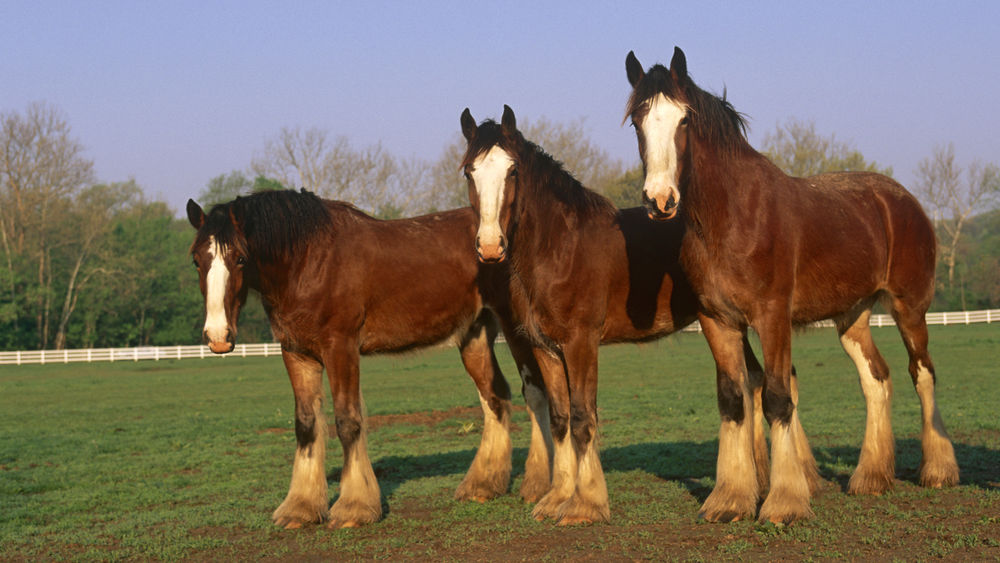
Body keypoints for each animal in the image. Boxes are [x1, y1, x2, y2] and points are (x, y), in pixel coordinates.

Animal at [186, 189, 554, 528]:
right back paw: (483, 485)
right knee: (495, 396)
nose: (218, 337)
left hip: (516, 328)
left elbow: (348, 421)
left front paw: (354, 507)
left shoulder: (341, 348)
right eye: (196, 260)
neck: (309, 261)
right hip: (474, 334)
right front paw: (300, 508)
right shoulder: (297, 353)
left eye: (240, 258)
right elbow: (306, 424)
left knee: (534, 394)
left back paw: (538, 484)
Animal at [458, 106, 779, 525]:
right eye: (469, 172)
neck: (560, 248)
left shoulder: (580, 343)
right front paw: (556, 499)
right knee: (753, 379)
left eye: (512, 171)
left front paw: (586, 505)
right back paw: (755, 483)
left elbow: (582, 417)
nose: (491, 246)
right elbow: (560, 420)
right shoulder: (546, 349)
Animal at [624, 47, 959, 524]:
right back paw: (871, 477)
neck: (733, 217)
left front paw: (784, 502)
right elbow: (733, 400)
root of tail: (902, 200)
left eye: (684, 120)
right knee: (876, 378)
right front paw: (730, 499)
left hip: (909, 308)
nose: (660, 200)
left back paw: (938, 471)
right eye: (638, 120)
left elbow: (778, 398)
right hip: (852, 317)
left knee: (922, 373)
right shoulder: (717, 321)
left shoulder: (772, 317)